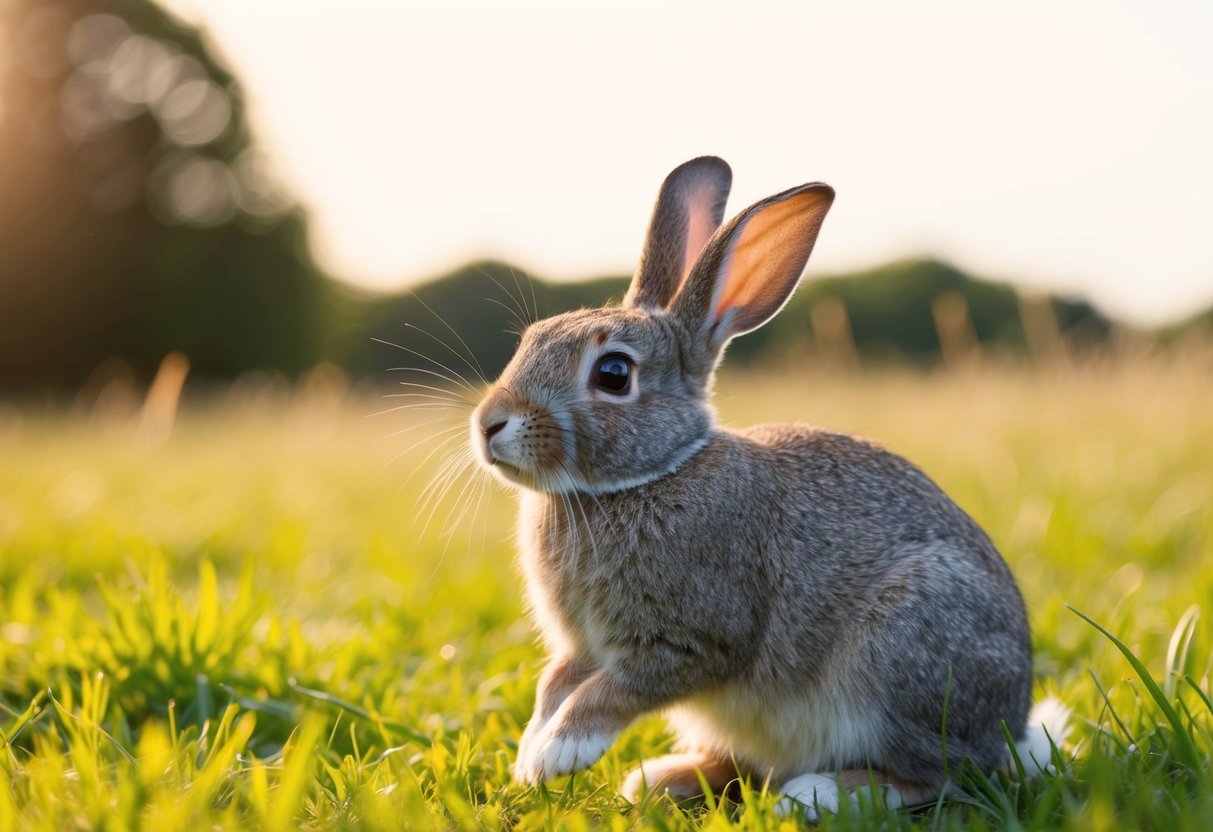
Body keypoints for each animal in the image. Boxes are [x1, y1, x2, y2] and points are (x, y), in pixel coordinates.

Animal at [471, 156, 1059, 817]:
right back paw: (666, 777)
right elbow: (555, 684)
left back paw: (817, 793)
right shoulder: (582, 648)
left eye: (614, 374)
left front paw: (559, 753)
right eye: (531, 337)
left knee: (941, 774)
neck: (652, 473)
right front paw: (530, 753)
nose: (489, 423)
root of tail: (1008, 729)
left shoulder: (692, 638)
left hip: (906, 652)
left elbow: (613, 690)